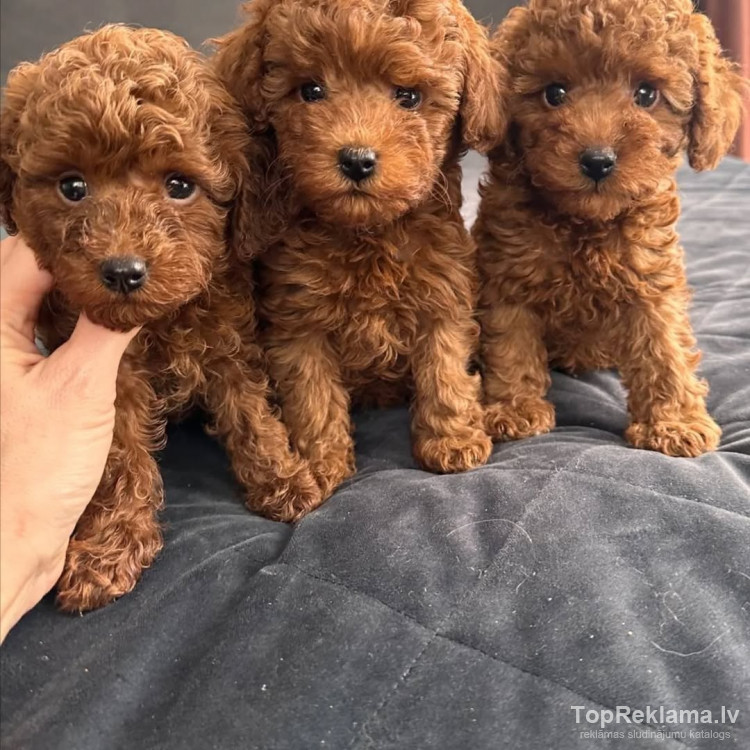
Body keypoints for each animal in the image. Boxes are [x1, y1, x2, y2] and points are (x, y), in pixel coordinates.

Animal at [0, 25, 321, 611]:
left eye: (180, 186)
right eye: (72, 188)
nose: (124, 272)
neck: (162, 322)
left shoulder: (228, 344)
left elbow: (250, 414)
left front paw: (282, 479)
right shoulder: (113, 382)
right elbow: (120, 458)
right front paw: (109, 549)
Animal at [213, 0, 505, 501]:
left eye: (409, 97)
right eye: (311, 90)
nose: (356, 159)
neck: (366, 233)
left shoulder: (443, 294)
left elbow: (445, 369)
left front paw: (452, 440)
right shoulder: (298, 320)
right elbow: (311, 394)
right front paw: (320, 462)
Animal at [474, 0, 745, 457]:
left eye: (646, 94)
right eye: (554, 94)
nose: (597, 161)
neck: (587, 222)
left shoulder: (651, 277)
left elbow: (664, 348)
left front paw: (674, 422)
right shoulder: (508, 274)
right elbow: (511, 343)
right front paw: (513, 408)